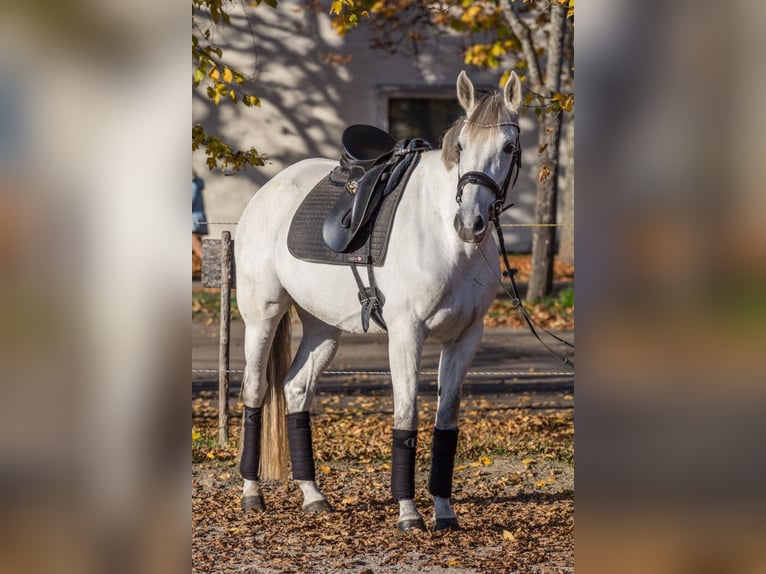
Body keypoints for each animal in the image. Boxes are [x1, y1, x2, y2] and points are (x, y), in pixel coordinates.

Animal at [234, 70, 520, 532]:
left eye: (509, 147)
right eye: (461, 146)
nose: (470, 223)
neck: (444, 237)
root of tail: (269, 190)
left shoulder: (465, 338)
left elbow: (446, 420)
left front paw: (444, 511)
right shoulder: (406, 334)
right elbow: (407, 415)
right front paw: (408, 512)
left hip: (323, 328)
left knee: (296, 389)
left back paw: (313, 495)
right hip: (262, 316)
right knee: (255, 389)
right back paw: (251, 492)